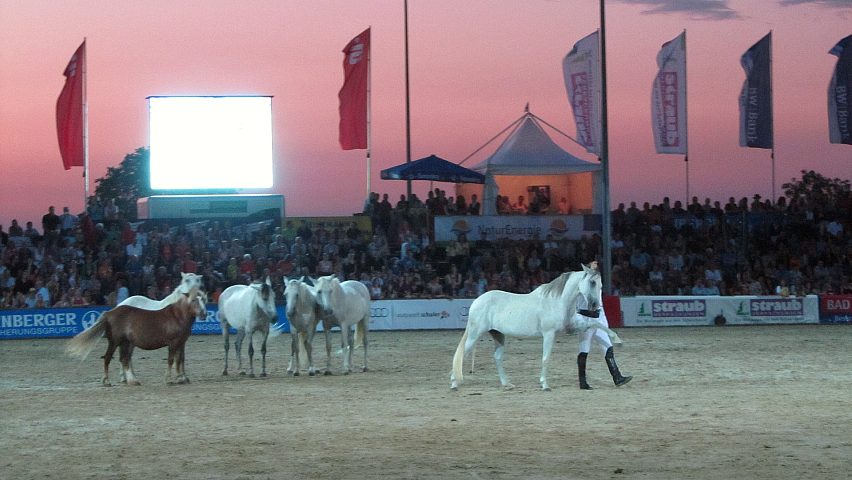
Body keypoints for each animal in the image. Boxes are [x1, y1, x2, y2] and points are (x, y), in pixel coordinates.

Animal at [66, 286, 206, 384]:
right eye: (194, 300)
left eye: (203, 299)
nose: (204, 314)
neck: (177, 316)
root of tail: (109, 313)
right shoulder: (173, 343)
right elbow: (171, 360)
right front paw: (169, 379)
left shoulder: (181, 342)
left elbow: (180, 359)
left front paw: (182, 378)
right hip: (115, 342)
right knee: (108, 358)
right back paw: (107, 381)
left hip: (125, 343)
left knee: (124, 359)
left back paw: (132, 380)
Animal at [450, 264, 624, 392]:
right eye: (592, 282)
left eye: (600, 284)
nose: (595, 306)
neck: (557, 301)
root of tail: (476, 301)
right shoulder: (549, 334)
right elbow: (545, 358)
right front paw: (545, 385)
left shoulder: (572, 328)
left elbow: (596, 324)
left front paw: (617, 340)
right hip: (475, 334)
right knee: (462, 353)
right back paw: (454, 383)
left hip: (498, 335)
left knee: (497, 358)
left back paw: (507, 384)